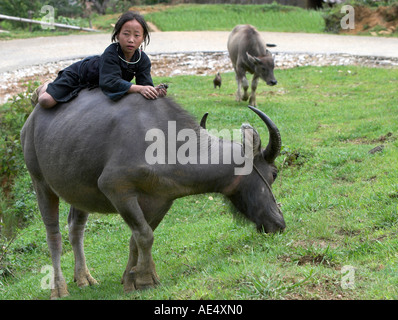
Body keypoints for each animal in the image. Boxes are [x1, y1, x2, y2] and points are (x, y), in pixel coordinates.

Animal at [21, 89, 282, 298]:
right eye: (274, 173)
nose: (279, 222)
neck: (168, 144)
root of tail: (30, 121)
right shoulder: (116, 189)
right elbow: (145, 235)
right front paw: (145, 280)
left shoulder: (161, 200)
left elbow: (138, 237)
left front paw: (132, 278)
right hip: (40, 183)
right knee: (53, 235)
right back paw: (58, 287)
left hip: (79, 191)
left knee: (76, 228)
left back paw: (84, 277)